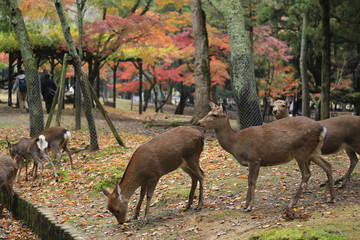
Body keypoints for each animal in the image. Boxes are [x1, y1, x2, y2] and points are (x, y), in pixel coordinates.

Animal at [197, 102, 334, 211]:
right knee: (328, 166)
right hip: (313, 152)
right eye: (209, 112)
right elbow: (249, 180)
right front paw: (245, 205)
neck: (236, 144)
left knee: (307, 173)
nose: (199, 122)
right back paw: (332, 198)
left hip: (301, 151)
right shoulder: (251, 162)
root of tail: (322, 128)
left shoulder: (254, 159)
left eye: (215, 115)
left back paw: (292, 203)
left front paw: (250, 206)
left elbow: (252, 181)